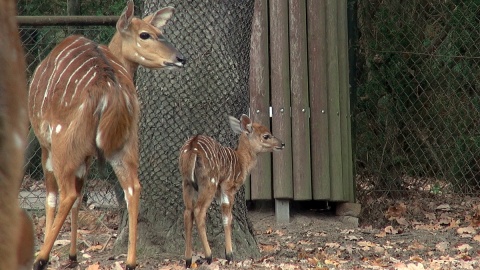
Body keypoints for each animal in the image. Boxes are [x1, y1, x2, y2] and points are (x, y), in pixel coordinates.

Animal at [28, 1, 186, 268]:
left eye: (158, 31)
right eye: (146, 34)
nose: (180, 58)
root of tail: (110, 87)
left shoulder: (45, 143)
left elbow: (52, 198)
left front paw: (60, 255)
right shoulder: (88, 155)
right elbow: (82, 196)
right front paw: (73, 256)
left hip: (63, 143)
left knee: (67, 193)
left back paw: (40, 257)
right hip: (126, 143)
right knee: (132, 187)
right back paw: (130, 261)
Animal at [179, 114, 284, 268]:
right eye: (266, 135)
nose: (282, 144)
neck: (242, 162)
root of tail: (192, 147)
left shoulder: (220, 192)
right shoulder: (228, 188)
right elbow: (227, 219)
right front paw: (229, 255)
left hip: (187, 183)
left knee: (187, 213)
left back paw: (187, 260)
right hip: (209, 182)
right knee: (198, 211)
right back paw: (209, 256)